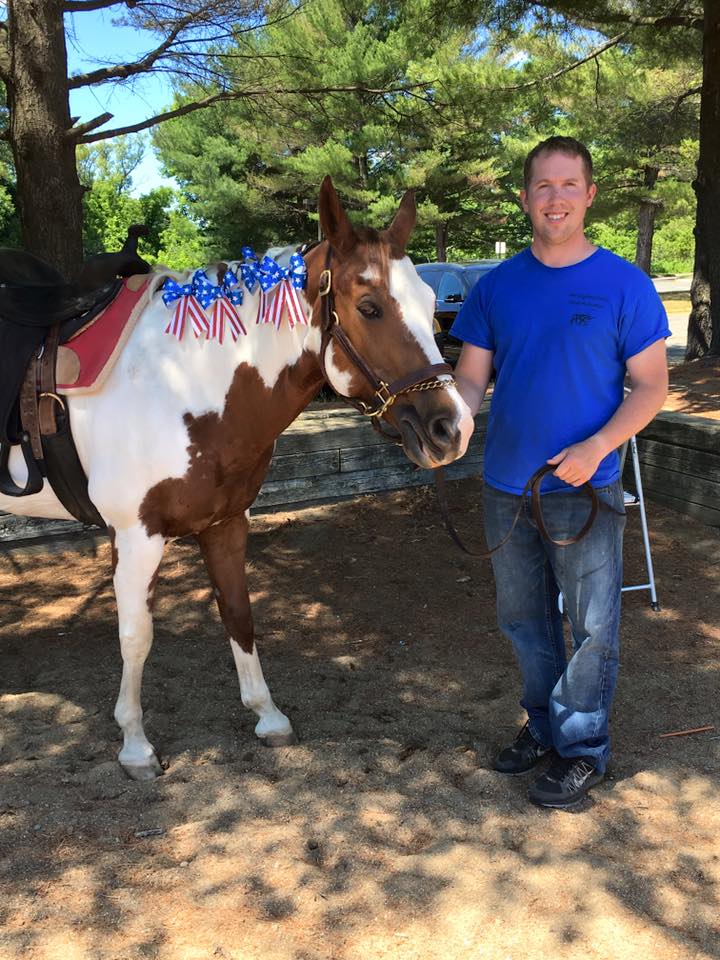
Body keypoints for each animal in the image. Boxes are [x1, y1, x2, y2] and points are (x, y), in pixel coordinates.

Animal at [0, 178, 476, 780]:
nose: (453, 428)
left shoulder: (226, 523)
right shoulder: (136, 536)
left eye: (433, 305)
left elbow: (238, 615)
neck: (182, 384)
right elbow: (136, 636)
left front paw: (267, 716)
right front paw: (135, 746)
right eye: (369, 307)